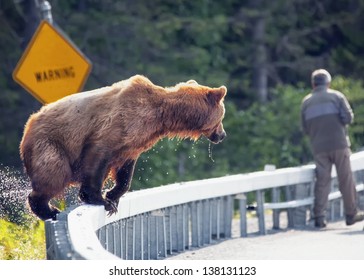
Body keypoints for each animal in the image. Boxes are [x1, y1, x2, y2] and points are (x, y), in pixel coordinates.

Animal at [19, 75, 228, 220]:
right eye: (222, 117)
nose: (223, 135)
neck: (161, 116)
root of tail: (27, 126)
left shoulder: (134, 143)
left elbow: (125, 171)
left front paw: (113, 195)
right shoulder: (117, 124)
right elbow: (98, 155)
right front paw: (101, 200)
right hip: (50, 143)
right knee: (54, 173)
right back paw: (49, 209)